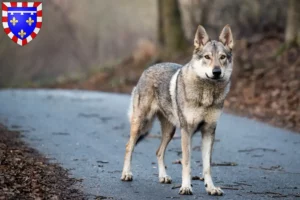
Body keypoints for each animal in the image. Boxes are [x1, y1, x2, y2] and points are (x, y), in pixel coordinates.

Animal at [120, 25, 233, 195]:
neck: (207, 93)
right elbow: (186, 162)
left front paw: (211, 188)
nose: (216, 72)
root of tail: (147, 69)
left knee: (158, 152)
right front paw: (186, 187)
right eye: (207, 57)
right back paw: (126, 174)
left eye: (222, 57)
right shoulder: (186, 131)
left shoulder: (208, 131)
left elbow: (207, 166)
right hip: (141, 124)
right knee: (129, 146)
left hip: (170, 131)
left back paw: (163, 177)